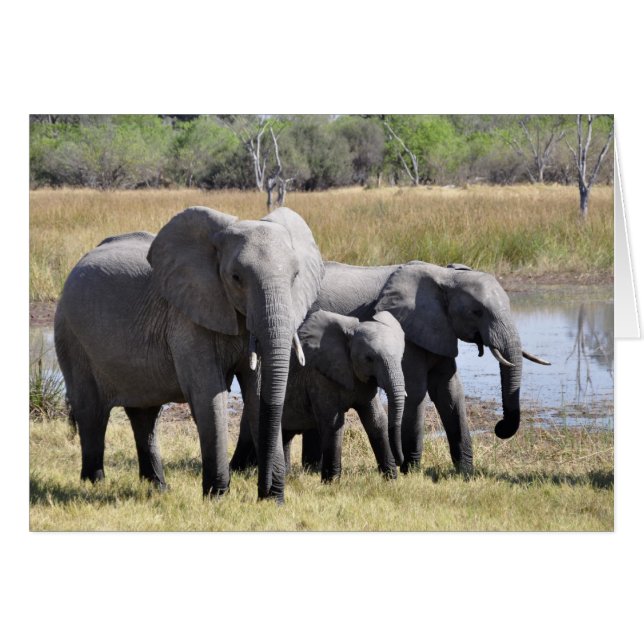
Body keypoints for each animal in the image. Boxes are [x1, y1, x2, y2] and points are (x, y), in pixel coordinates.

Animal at [54, 206, 324, 502]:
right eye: (236, 278)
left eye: (295, 276)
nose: (265, 492)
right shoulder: (187, 318)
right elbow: (209, 394)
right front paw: (217, 498)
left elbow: (257, 393)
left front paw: (272, 501)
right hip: (71, 335)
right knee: (91, 411)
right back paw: (94, 484)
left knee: (145, 415)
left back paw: (158, 487)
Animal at [281, 309, 406, 482]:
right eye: (369, 359)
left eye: (401, 357)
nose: (401, 461)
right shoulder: (319, 375)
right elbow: (333, 423)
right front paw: (332, 483)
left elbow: (376, 420)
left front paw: (391, 480)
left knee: (285, 434)